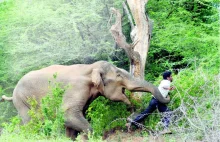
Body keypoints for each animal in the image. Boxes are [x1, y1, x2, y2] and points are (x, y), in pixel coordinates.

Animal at [0, 60, 170, 139]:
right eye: (119, 75)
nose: (131, 109)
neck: (90, 67)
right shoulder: (77, 88)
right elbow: (68, 114)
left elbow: (74, 117)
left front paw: (71, 138)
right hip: (23, 101)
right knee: (31, 123)